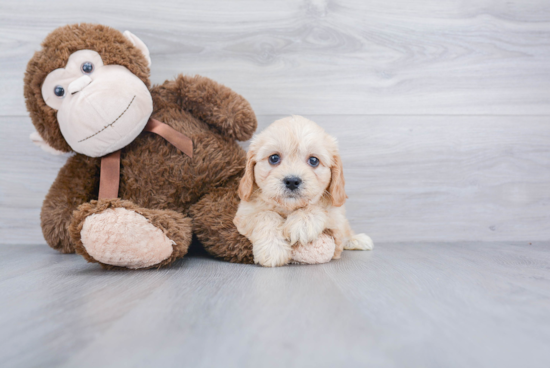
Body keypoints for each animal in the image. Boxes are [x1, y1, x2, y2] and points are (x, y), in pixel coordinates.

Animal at [233, 115, 376, 268]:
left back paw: (358, 239)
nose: (292, 181)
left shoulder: (337, 217)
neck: (289, 208)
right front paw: (273, 248)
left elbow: (322, 210)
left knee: (347, 230)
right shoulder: (244, 214)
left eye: (313, 160)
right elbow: (265, 215)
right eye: (274, 158)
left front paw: (302, 224)